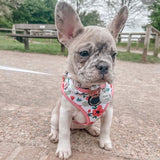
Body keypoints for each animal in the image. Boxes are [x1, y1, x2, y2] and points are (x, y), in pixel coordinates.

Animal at [49, 1, 128, 159]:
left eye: (114, 55)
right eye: (84, 53)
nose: (104, 65)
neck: (90, 89)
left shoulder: (109, 111)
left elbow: (106, 128)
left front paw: (105, 141)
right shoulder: (65, 113)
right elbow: (64, 133)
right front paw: (64, 149)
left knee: (89, 125)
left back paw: (93, 129)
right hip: (55, 115)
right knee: (56, 127)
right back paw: (54, 135)